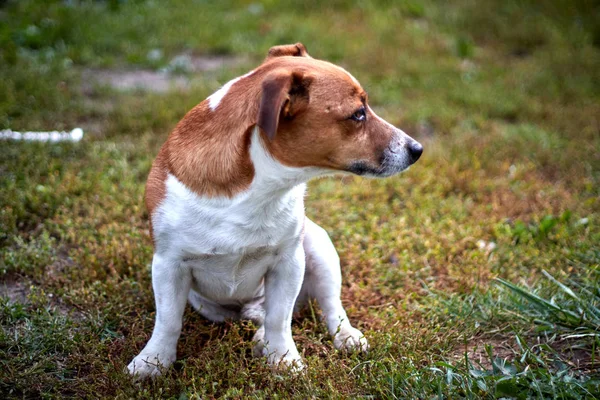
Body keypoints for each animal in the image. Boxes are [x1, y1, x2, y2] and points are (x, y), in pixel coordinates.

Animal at [127, 43, 422, 378]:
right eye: (358, 114)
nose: (417, 149)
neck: (257, 189)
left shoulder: (288, 261)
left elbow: (279, 318)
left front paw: (283, 359)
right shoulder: (169, 265)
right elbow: (168, 321)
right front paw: (153, 361)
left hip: (319, 249)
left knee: (327, 306)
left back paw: (343, 336)